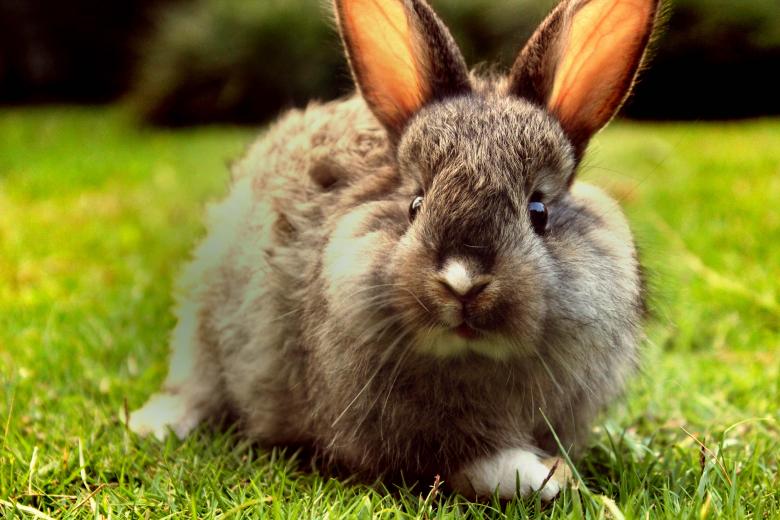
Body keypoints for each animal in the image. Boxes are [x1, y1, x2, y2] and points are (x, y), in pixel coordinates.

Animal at [129, 0, 660, 501]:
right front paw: (540, 477)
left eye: (539, 211)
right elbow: (465, 463)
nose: (463, 282)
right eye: (415, 204)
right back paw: (155, 424)